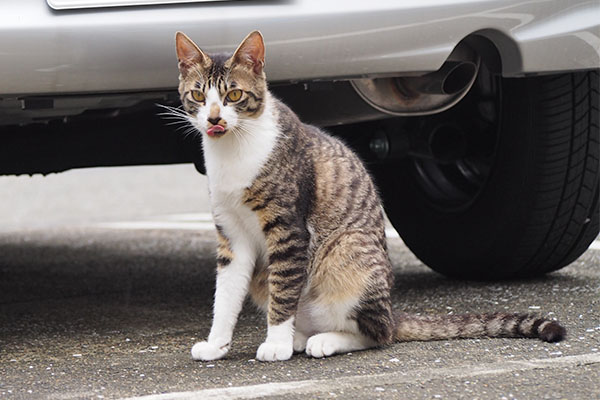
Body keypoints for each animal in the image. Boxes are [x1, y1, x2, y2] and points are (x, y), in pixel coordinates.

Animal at [173, 32, 568, 362]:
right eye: (198, 95)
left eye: (233, 95)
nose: (214, 119)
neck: (234, 150)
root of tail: (392, 310)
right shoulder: (232, 236)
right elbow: (225, 295)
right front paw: (217, 344)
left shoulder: (289, 230)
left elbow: (283, 291)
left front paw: (276, 345)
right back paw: (302, 337)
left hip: (346, 252)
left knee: (376, 333)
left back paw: (323, 340)